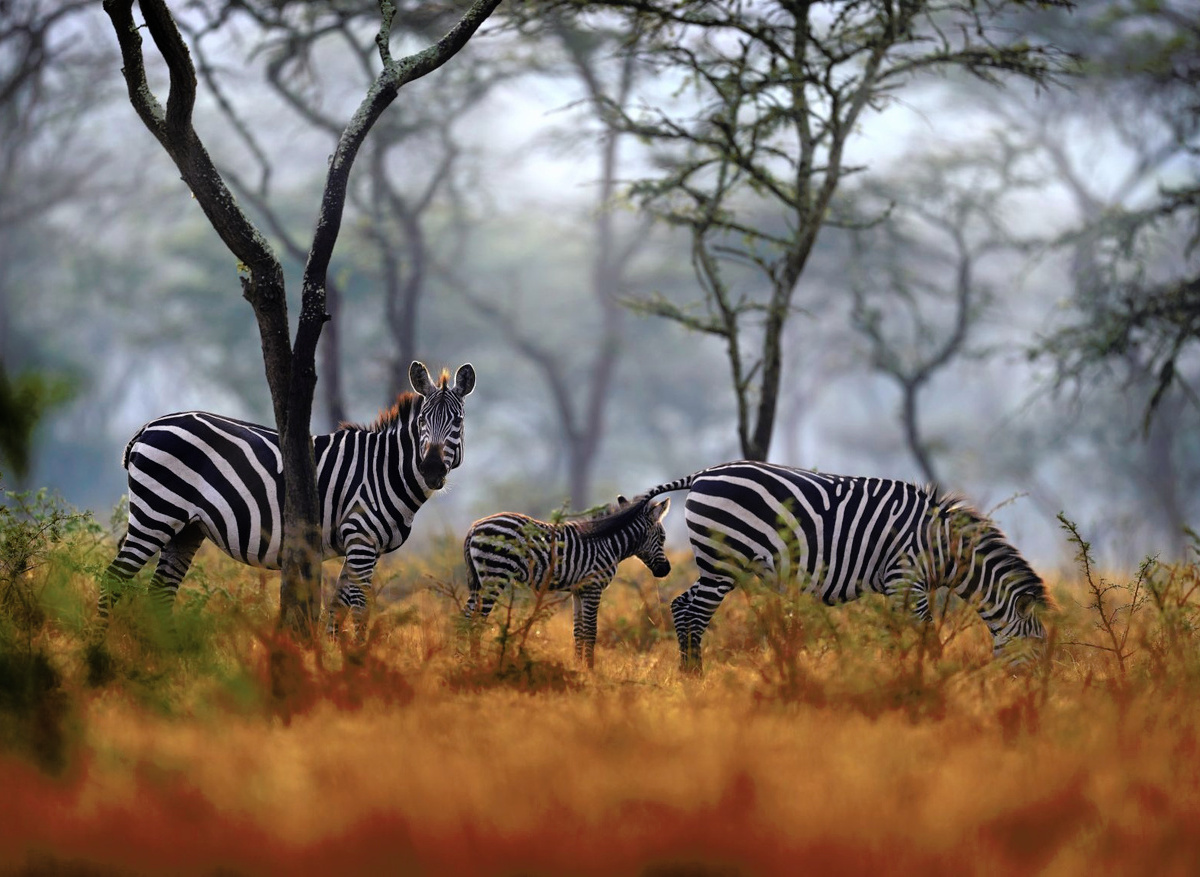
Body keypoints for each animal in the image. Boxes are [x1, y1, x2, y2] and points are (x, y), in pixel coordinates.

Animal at [100, 361, 475, 637]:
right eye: (423, 420)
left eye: (457, 422)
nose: (431, 470)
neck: (384, 469)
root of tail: (149, 425)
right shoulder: (361, 539)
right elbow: (358, 608)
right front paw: (358, 664)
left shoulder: (361, 546)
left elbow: (336, 608)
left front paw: (333, 665)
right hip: (156, 513)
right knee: (114, 577)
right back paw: (100, 651)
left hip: (185, 528)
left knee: (160, 592)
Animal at [462, 494, 672, 667]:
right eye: (663, 537)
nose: (666, 570)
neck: (608, 543)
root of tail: (474, 527)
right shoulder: (593, 587)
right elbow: (591, 631)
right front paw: (590, 670)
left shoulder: (578, 591)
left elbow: (578, 632)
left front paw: (578, 667)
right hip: (495, 574)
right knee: (478, 621)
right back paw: (476, 662)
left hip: (480, 581)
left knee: (466, 617)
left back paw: (462, 659)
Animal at [641, 461, 1048, 672]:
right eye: (1039, 646)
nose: (1037, 700)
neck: (944, 550)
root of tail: (703, 474)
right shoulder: (906, 579)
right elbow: (925, 638)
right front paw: (927, 681)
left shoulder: (898, 588)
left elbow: (899, 637)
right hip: (724, 560)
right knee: (695, 613)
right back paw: (697, 679)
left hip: (718, 564)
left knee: (681, 605)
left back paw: (688, 677)